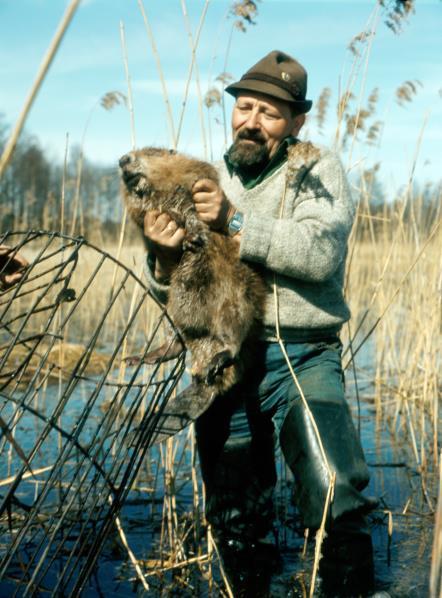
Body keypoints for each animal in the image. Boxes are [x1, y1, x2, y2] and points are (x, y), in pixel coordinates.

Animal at [118, 148, 266, 406]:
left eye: (149, 152)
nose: (122, 160)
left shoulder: (196, 186)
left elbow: (195, 217)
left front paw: (193, 239)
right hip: (170, 314)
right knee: (176, 343)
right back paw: (139, 358)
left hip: (235, 302)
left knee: (234, 337)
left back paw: (219, 360)